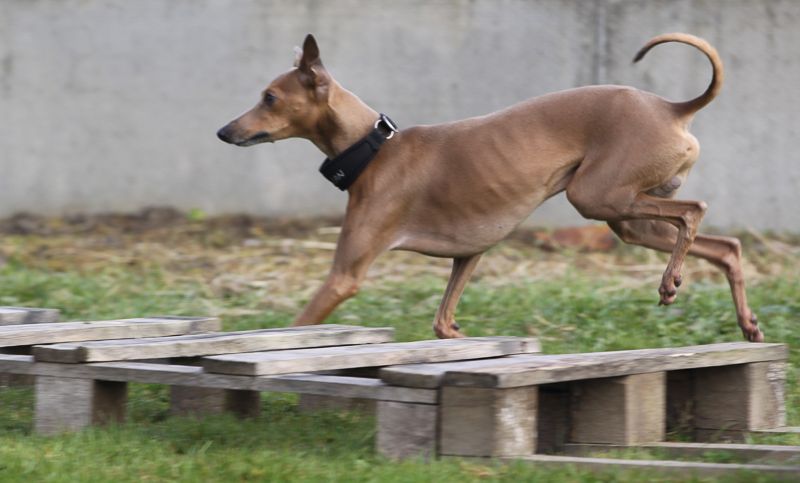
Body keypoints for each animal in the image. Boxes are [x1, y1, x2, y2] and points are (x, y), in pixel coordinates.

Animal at [217, 33, 763, 342]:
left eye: (269, 97)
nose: (224, 132)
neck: (374, 148)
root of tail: (672, 107)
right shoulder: (468, 255)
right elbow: (444, 324)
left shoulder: (344, 277)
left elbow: (296, 328)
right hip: (627, 218)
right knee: (726, 246)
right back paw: (747, 324)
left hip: (597, 197)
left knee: (694, 211)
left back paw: (671, 283)